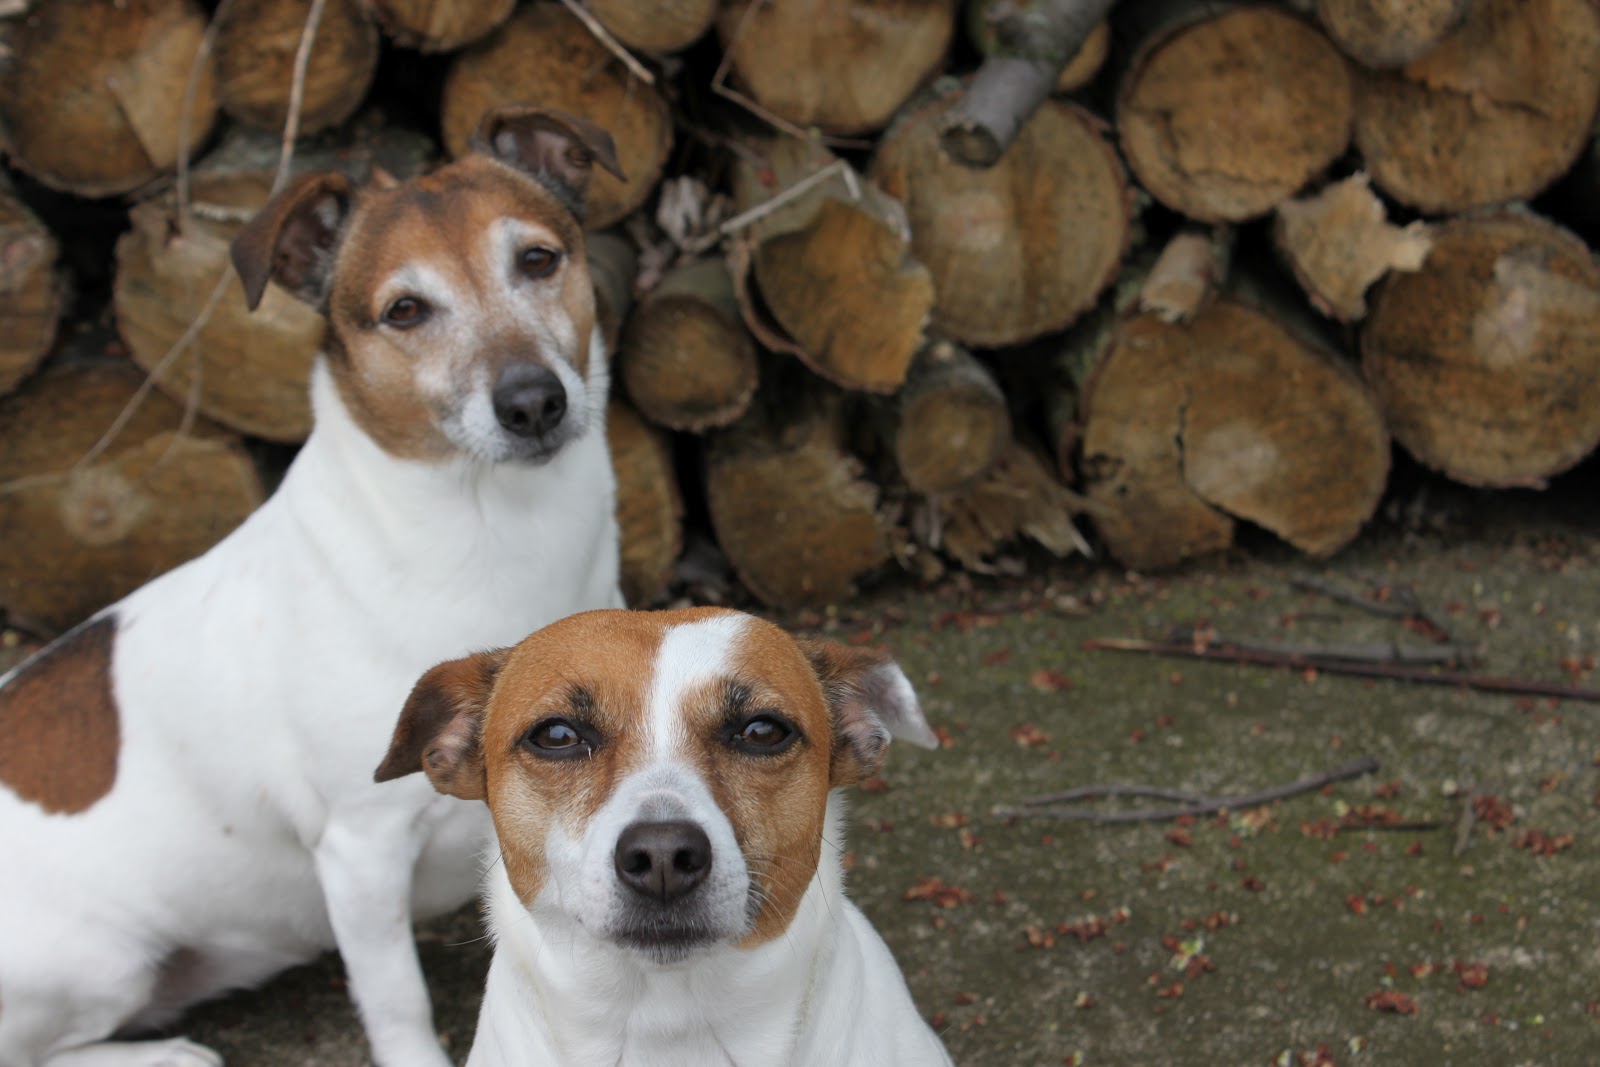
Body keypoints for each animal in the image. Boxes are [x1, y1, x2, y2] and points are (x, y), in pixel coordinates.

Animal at [0, 106, 626, 1067]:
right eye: (404, 310)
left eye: (537, 259)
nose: (533, 402)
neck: (492, 531)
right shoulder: (360, 851)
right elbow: (399, 1003)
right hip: (103, 961)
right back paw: (167, 1053)